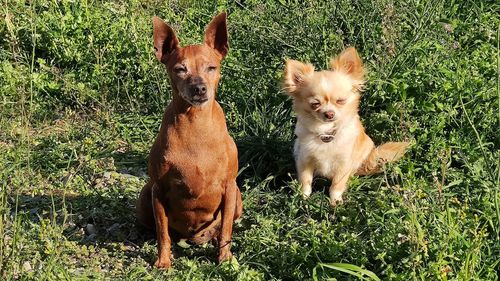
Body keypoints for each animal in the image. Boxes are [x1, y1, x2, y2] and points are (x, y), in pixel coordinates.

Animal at [138, 12, 243, 266]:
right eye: (180, 69)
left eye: (211, 68)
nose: (199, 88)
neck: (195, 125)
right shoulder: (158, 190)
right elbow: (162, 233)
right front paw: (163, 262)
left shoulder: (229, 187)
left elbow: (226, 228)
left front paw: (225, 258)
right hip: (145, 194)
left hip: (238, 195)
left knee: (223, 226)